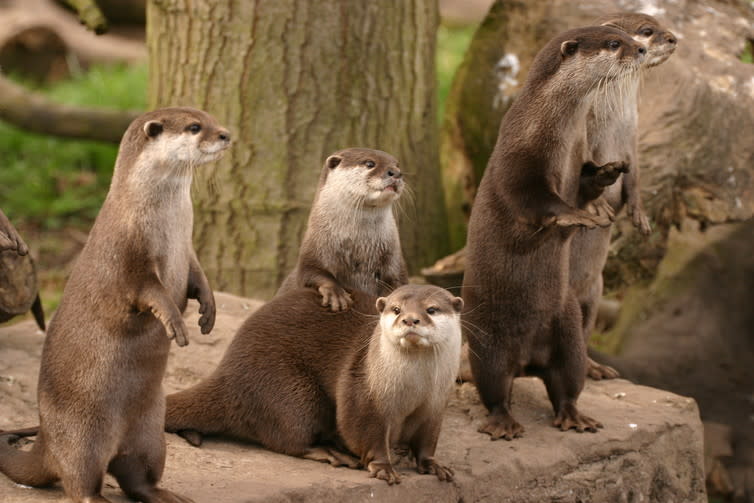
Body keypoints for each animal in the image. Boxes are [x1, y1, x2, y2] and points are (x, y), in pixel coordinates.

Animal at [0, 107, 229, 503]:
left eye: (211, 118)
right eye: (195, 127)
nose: (226, 135)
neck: (165, 221)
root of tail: (45, 439)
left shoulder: (188, 251)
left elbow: (198, 277)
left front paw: (208, 311)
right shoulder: (128, 257)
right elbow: (148, 293)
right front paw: (174, 321)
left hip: (151, 433)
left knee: (138, 478)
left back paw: (166, 495)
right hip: (83, 435)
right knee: (78, 480)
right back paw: (96, 495)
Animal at [274, 147, 406, 312]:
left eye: (397, 165)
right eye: (370, 163)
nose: (396, 172)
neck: (359, 247)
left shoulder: (394, 260)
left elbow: (398, 284)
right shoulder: (313, 252)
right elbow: (310, 273)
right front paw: (335, 294)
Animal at [462, 25, 644, 440]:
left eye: (624, 34)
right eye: (614, 43)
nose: (641, 49)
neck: (554, 133)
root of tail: (526, 361)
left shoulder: (578, 157)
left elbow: (585, 183)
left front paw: (607, 173)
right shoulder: (518, 161)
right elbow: (534, 199)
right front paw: (576, 218)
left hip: (569, 332)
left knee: (566, 383)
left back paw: (576, 417)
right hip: (487, 342)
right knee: (494, 389)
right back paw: (503, 423)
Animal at [568, 10, 676, 382]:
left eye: (660, 24)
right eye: (646, 31)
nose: (674, 38)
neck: (613, 118)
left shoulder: (631, 137)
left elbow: (636, 177)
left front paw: (640, 217)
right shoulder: (581, 133)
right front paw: (599, 203)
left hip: (594, 293)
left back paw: (595, 369)